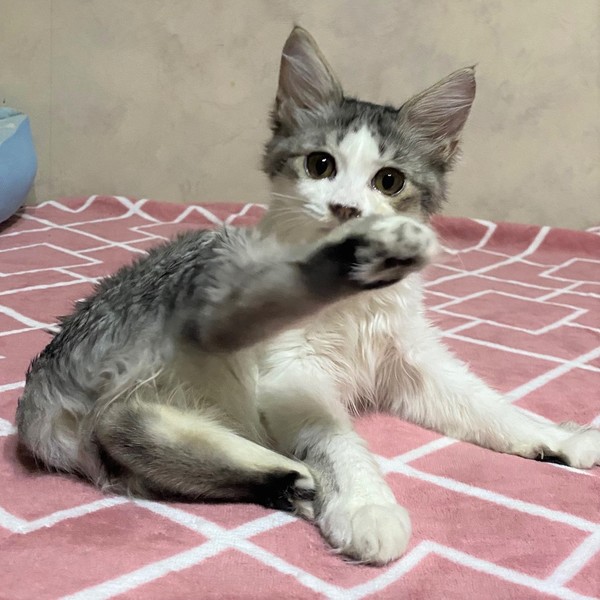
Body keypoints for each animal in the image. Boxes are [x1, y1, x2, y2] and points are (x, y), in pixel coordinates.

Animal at [16, 27, 600, 566]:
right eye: (321, 165)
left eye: (389, 180)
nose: (346, 210)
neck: (357, 312)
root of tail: (44, 382)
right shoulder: (293, 374)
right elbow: (336, 441)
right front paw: (366, 505)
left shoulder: (412, 360)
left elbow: (486, 406)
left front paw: (554, 437)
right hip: (214, 281)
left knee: (127, 427)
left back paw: (290, 480)